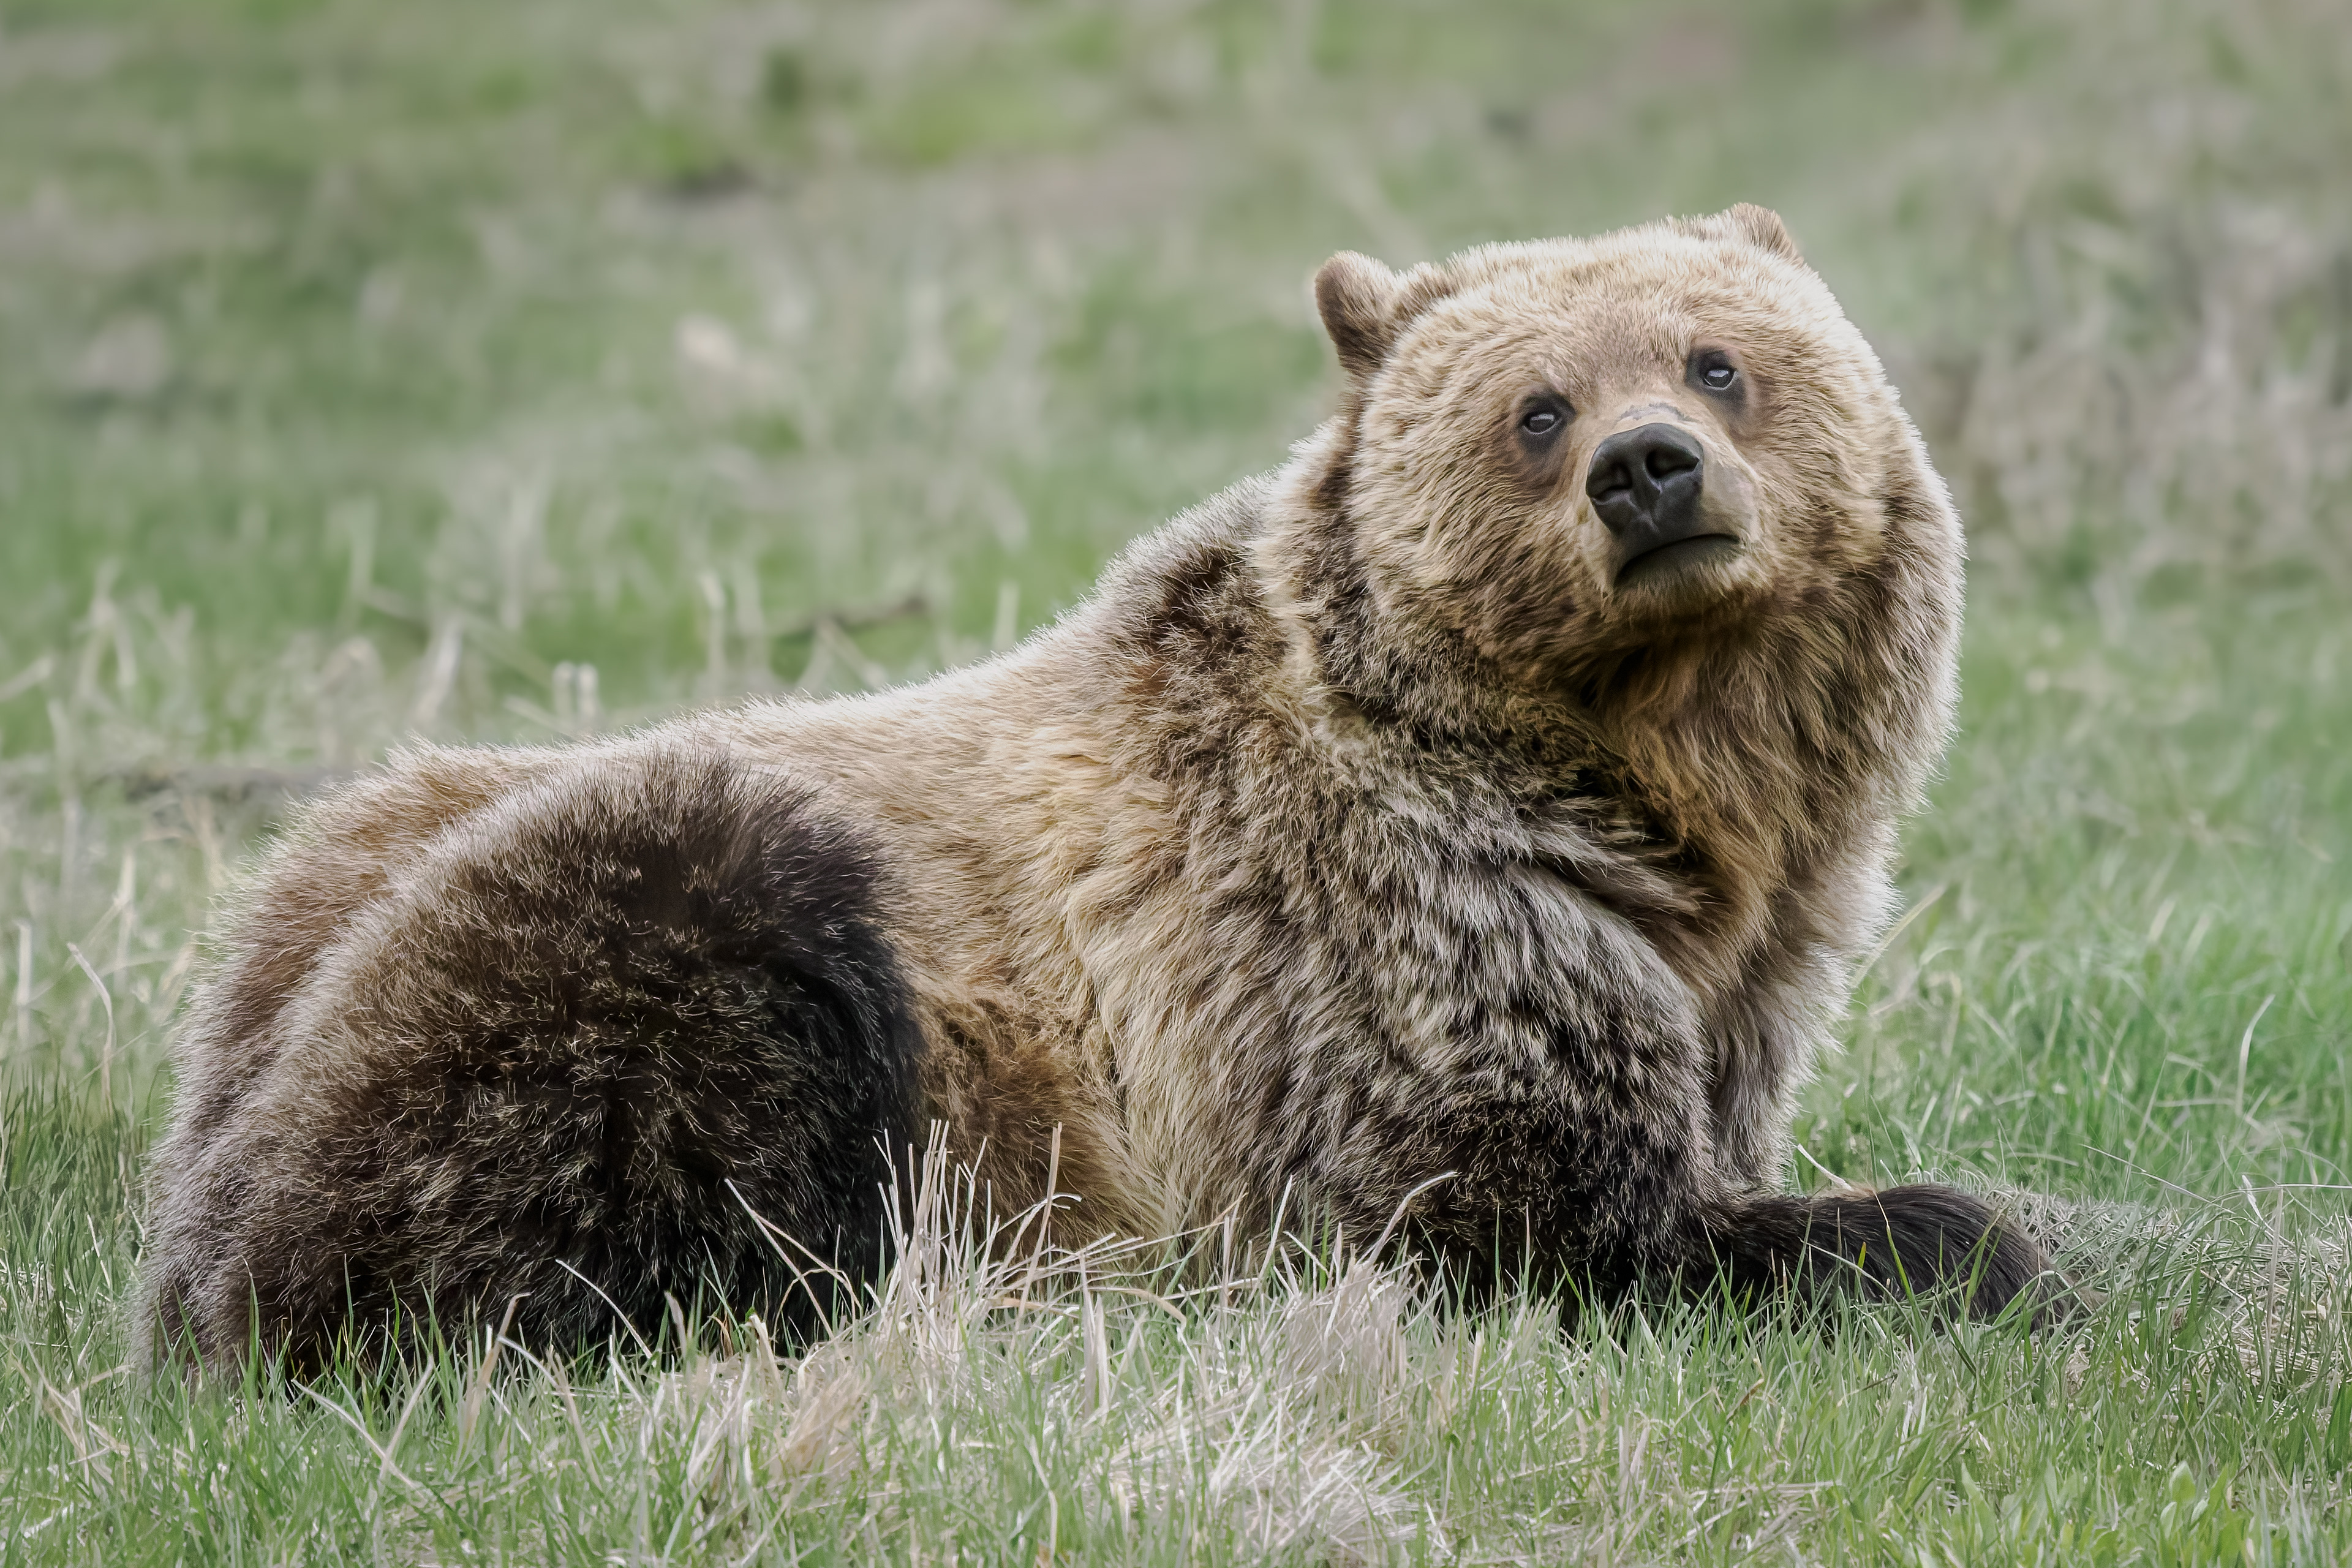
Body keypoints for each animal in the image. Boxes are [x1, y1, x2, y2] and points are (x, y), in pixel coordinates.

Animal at [135, 204, 2052, 1372]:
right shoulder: (1391, 947)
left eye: (1720, 359)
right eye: (1535, 403)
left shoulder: (1746, 957)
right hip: (627, 932)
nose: (1648, 469)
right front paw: (1972, 1235)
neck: (1655, 781)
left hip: (341, 873)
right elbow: (1532, 1212)